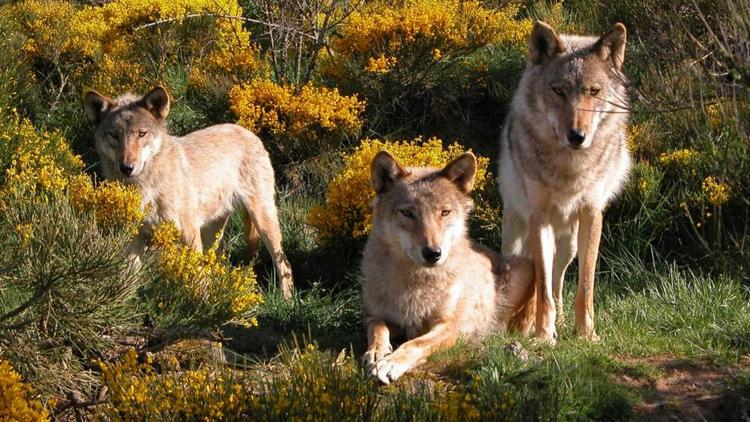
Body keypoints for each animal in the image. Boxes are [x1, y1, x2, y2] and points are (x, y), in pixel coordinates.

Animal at [82, 85, 294, 296]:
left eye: (141, 134)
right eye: (114, 135)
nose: (127, 168)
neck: (146, 188)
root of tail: (249, 132)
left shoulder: (188, 234)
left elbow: (198, 280)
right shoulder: (134, 239)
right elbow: (129, 281)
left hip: (262, 221)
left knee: (284, 264)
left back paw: (286, 299)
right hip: (213, 233)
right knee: (219, 261)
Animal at [362, 152, 536, 386]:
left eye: (445, 212)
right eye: (407, 213)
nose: (433, 253)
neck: (416, 282)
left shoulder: (449, 326)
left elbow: (415, 344)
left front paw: (391, 363)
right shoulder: (372, 316)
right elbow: (377, 329)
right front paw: (376, 353)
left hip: (524, 267)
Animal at [502, 21, 632, 344]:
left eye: (594, 91)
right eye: (558, 91)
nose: (577, 136)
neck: (570, 168)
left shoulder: (592, 214)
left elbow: (584, 286)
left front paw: (586, 334)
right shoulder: (539, 218)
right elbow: (542, 288)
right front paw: (542, 335)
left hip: (569, 245)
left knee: (559, 280)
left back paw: (560, 321)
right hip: (516, 239)